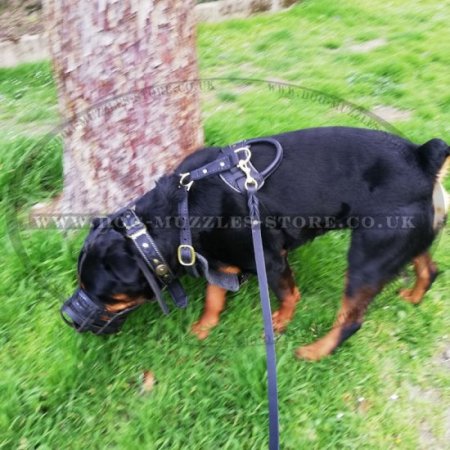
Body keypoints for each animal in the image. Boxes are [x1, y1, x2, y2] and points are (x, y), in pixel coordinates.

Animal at [65, 127, 448, 362]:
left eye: (104, 294)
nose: (67, 316)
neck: (179, 212)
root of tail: (421, 158)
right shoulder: (218, 260)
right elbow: (214, 297)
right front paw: (204, 327)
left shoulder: (269, 259)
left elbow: (288, 294)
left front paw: (280, 322)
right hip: (405, 239)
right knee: (428, 268)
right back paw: (414, 296)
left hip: (369, 255)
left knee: (351, 319)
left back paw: (316, 351)